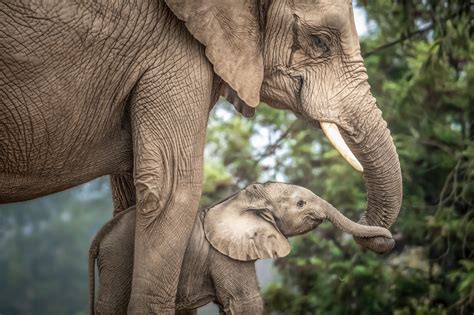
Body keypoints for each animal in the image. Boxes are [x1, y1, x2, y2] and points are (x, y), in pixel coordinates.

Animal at [90, 181, 392, 314]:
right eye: (300, 204)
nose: (388, 239)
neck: (241, 199)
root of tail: (101, 234)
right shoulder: (224, 255)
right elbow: (247, 301)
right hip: (119, 257)